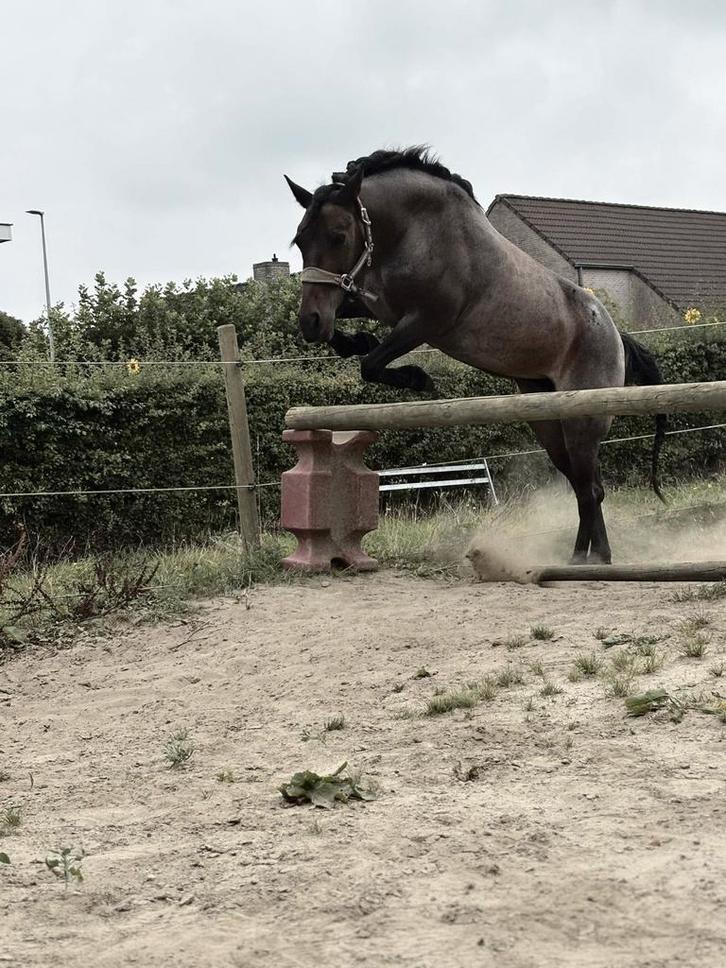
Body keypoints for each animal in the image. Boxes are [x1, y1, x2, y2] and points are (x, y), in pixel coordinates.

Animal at [285, 147, 665, 564]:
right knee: (582, 486)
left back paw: (598, 558)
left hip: (583, 420)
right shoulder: (377, 304)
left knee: (591, 488)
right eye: (300, 241)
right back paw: (579, 556)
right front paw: (356, 340)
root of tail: (615, 335)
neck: (413, 231)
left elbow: (371, 365)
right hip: (547, 419)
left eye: (338, 236)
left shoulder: (427, 321)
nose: (309, 323)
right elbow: (350, 332)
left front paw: (418, 378)